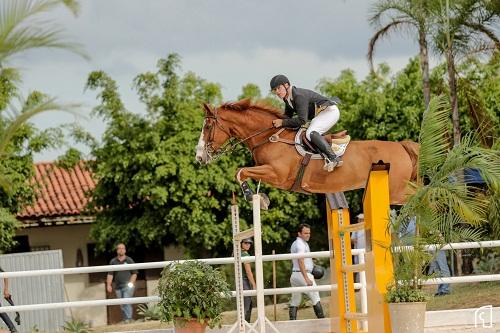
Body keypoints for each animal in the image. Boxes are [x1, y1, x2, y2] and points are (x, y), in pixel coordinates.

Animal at [195, 99, 418, 205]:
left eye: (207, 127)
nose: (199, 157)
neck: (269, 137)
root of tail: (401, 146)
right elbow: (241, 172)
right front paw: (262, 199)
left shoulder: (276, 174)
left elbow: (240, 171)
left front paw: (254, 198)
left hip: (396, 191)